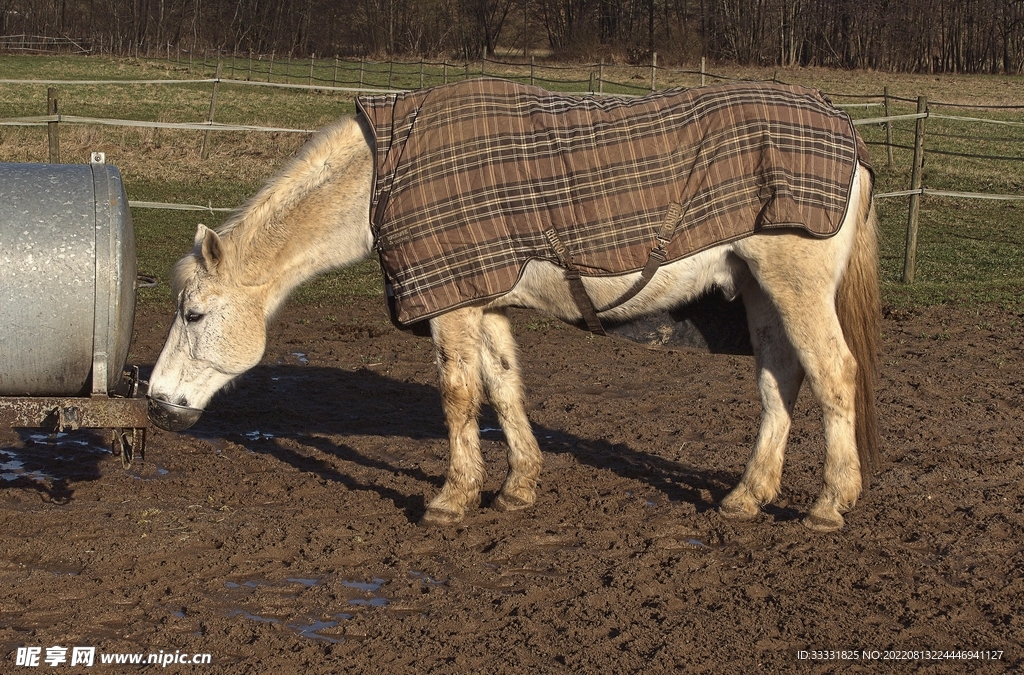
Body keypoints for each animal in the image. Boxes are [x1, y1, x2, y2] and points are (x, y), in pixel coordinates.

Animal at [148, 85, 880, 533]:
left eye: (193, 315)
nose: (155, 402)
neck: (385, 176)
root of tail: (846, 133)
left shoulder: (451, 307)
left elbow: (457, 395)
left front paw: (452, 497)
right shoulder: (485, 303)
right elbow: (502, 390)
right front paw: (517, 487)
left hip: (795, 285)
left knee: (833, 374)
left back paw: (829, 503)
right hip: (759, 290)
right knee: (780, 381)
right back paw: (747, 496)